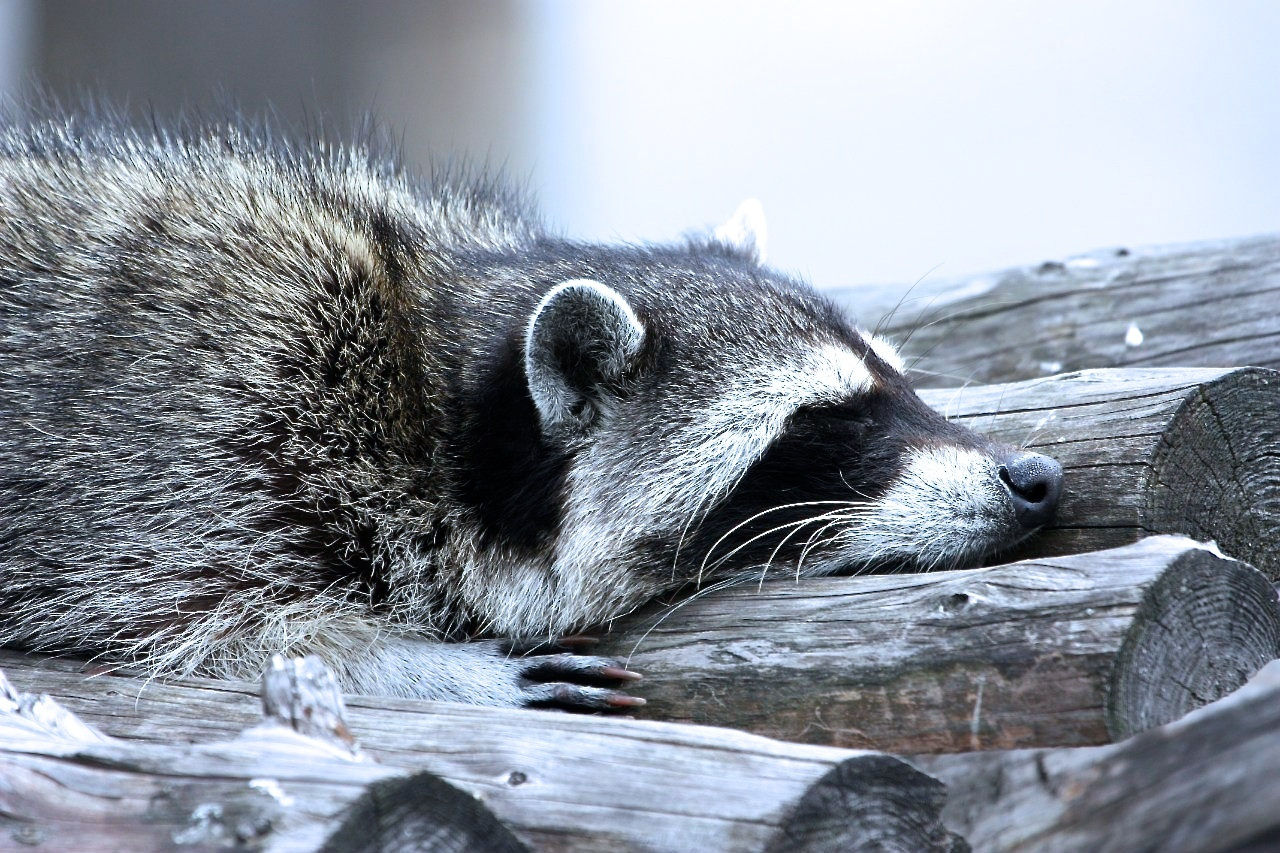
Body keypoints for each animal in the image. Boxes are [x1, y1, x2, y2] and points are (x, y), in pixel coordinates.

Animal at [0, 116, 1059, 706]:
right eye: (828, 420)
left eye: (905, 388)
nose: (1036, 477)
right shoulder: (202, 450)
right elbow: (212, 634)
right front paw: (415, 665)